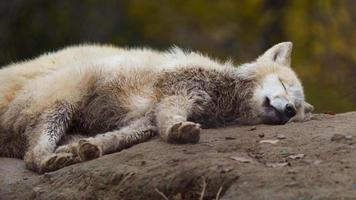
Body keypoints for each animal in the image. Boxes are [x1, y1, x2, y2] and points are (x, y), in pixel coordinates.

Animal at [0, 41, 312, 173]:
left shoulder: (149, 117)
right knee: (36, 146)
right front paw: (182, 130)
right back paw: (48, 159)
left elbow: (123, 135)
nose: (288, 110)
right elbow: (170, 114)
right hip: (63, 99)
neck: (224, 93)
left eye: (297, 107)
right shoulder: (179, 88)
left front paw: (90, 147)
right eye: (284, 85)